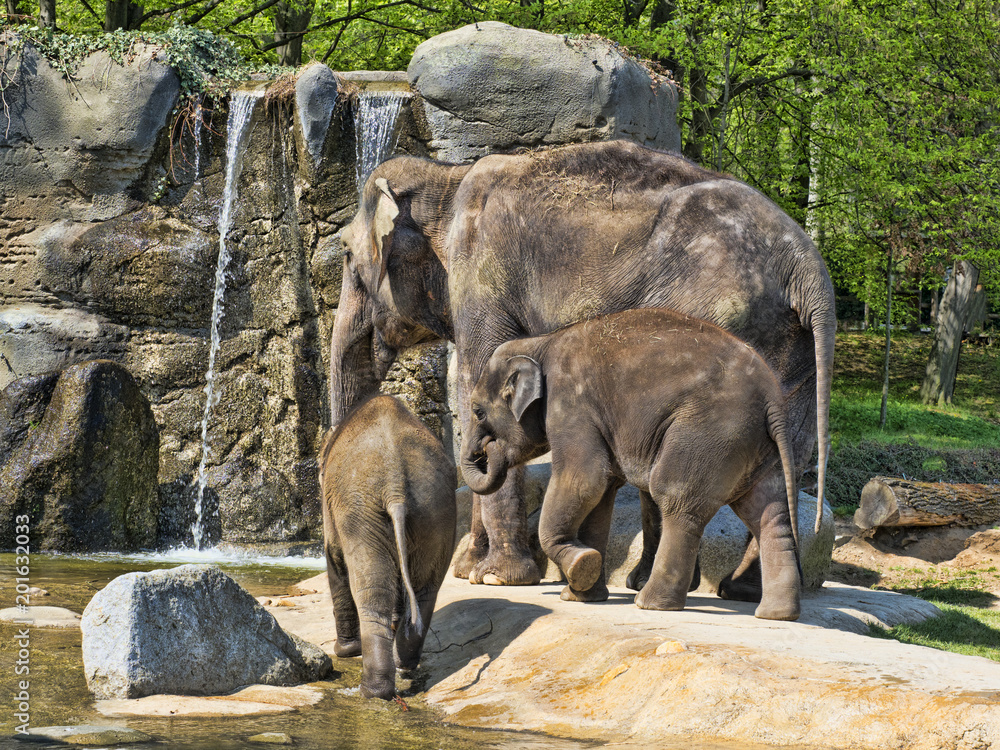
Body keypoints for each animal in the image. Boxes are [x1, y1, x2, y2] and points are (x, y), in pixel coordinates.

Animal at [318, 394, 457, 699]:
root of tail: (395, 487)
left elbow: (335, 560)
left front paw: (345, 652)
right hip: (435, 507)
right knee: (426, 588)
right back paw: (405, 663)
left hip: (361, 511)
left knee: (371, 591)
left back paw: (372, 691)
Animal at [461, 308, 801, 620]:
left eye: (478, 411)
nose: (487, 449)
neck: (540, 343)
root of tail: (773, 399)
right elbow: (600, 494)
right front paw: (581, 594)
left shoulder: (571, 403)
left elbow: (584, 479)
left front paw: (580, 567)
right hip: (755, 447)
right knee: (767, 514)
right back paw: (776, 614)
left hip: (709, 432)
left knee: (676, 499)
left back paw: (650, 603)